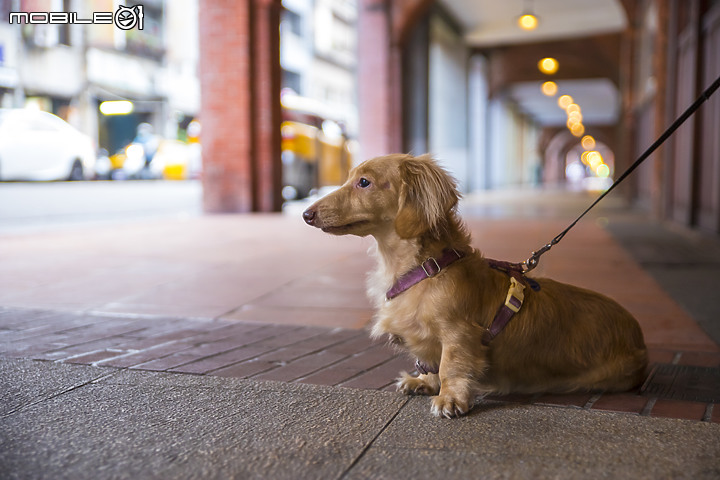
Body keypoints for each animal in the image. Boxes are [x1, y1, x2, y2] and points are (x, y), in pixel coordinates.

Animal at [300, 154, 648, 416]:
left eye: (364, 182)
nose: (306, 214)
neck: (425, 269)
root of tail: (639, 336)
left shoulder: (459, 333)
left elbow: (450, 365)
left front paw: (450, 398)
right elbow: (433, 363)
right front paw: (424, 381)